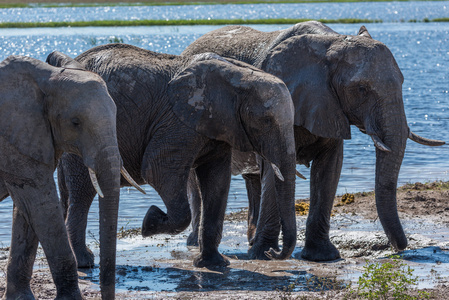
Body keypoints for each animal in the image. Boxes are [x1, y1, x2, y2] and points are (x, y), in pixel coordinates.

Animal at [0, 55, 141, 300]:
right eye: (75, 122)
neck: (47, 77)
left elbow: (26, 209)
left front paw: (20, 299)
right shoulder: (15, 134)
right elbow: (41, 205)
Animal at [46, 42, 298, 270]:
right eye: (265, 120)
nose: (272, 253)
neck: (240, 74)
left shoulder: (216, 124)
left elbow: (217, 180)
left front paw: (215, 265)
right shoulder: (177, 122)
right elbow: (158, 171)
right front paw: (149, 223)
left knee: (71, 193)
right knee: (83, 192)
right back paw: (84, 263)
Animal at [183, 21, 444, 262]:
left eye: (402, 81)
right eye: (361, 89)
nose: (399, 248)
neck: (330, 42)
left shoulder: (329, 105)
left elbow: (329, 169)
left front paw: (322, 256)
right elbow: (276, 170)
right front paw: (263, 255)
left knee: (253, 181)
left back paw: (249, 240)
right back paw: (197, 243)